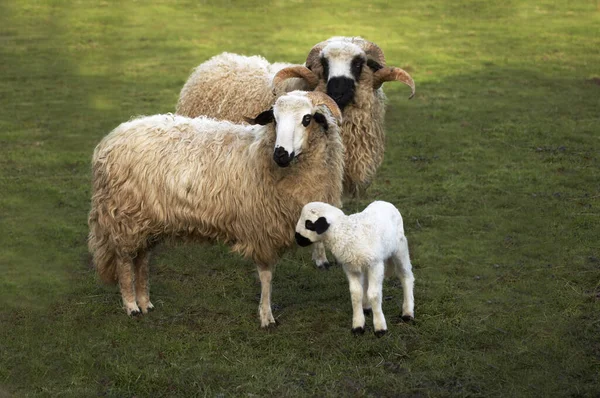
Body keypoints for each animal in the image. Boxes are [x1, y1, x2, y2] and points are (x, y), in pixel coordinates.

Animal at [294, 202, 414, 336]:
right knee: (366, 283)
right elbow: (356, 294)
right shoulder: (351, 268)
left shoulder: (375, 265)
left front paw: (380, 327)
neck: (344, 233)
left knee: (406, 276)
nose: (297, 239)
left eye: (309, 224)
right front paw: (358, 325)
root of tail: (385, 202)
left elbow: (374, 294)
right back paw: (366, 307)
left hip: (400, 248)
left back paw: (407, 312)